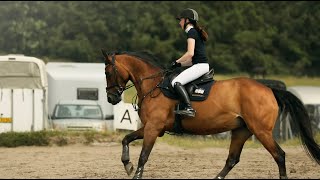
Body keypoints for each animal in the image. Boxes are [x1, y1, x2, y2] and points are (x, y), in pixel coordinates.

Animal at [102, 50, 320, 179]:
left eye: (107, 72)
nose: (111, 98)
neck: (153, 85)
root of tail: (269, 90)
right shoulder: (152, 128)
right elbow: (126, 139)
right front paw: (127, 165)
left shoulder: (153, 128)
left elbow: (144, 155)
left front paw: (134, 171)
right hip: (241, 131)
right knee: (232, 159)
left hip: (261, 131)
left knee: (279, 155)